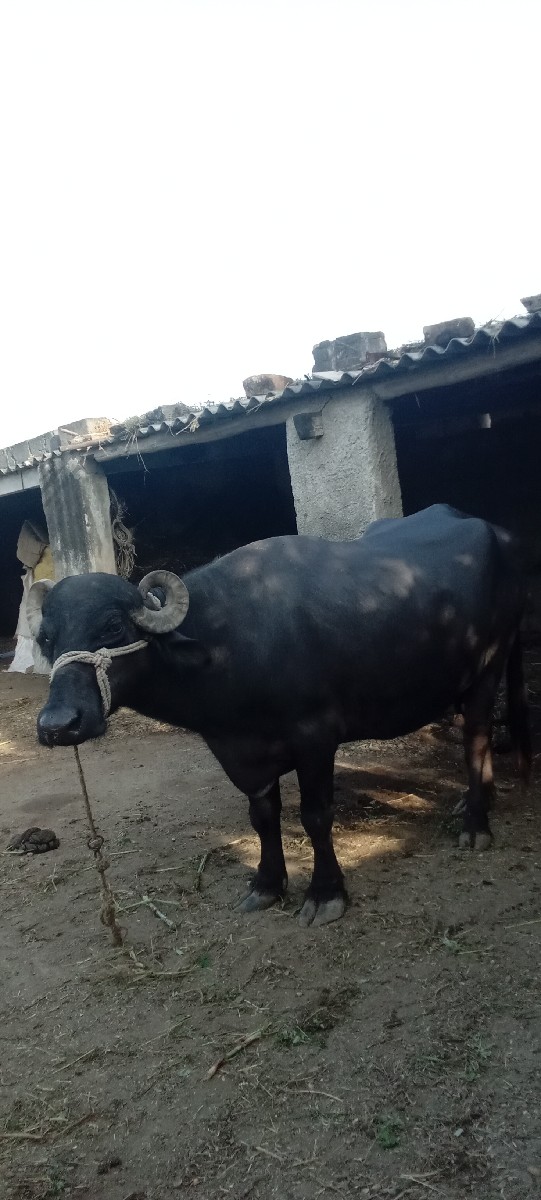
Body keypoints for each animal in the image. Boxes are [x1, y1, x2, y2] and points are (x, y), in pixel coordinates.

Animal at [28, 504, 531, 927]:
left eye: (113, 626)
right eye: (47, 638)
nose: (58, 725)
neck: (229, 643)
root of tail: (500, 533)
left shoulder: (315, 737)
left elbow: (315, 816)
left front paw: (326, 893)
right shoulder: (241, 752)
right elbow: (263, 817)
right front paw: (267, 885)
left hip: (488, 667)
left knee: (478, 736)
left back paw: (475, 825)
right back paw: (474, 801)